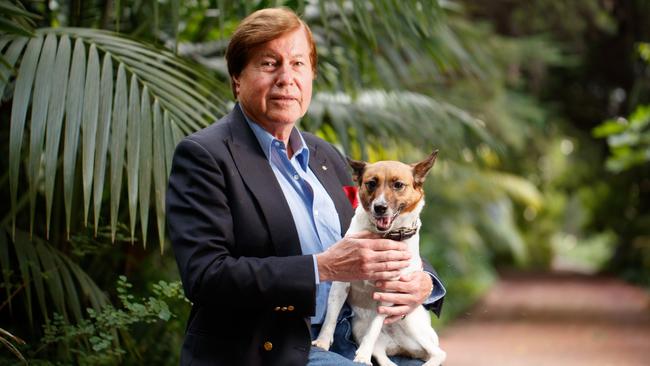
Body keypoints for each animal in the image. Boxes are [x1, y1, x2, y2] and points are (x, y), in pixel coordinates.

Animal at [312, 150, 442, 366]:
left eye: (398, 185)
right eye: (371, 183)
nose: (379, 207)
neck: (383, 235)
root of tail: (400, 347)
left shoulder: (388, 293)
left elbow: (373, 328)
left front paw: (363, 355)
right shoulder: (340, 284)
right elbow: (330, 317)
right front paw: (322, 341)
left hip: (411, 322)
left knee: (438, 353)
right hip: (359, 328)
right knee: (383, 357)